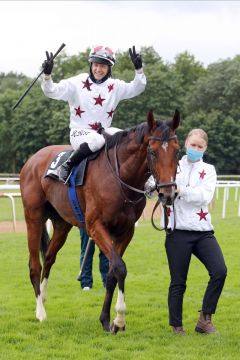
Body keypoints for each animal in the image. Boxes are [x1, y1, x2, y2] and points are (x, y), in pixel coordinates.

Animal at [19, 110, 179, 334]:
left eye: (177, 151)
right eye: (153, 152)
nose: (168, 194)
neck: (120, 178)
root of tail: (33, 159)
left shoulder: (125, 231)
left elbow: (112, 272)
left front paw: (106, 320)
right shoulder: (95, 227)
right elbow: (120, 267)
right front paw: (119, 319)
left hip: (62, 224)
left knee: (49, 258)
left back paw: (43, 298)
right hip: (33, 217)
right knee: (34, 265)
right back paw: (40, 313)